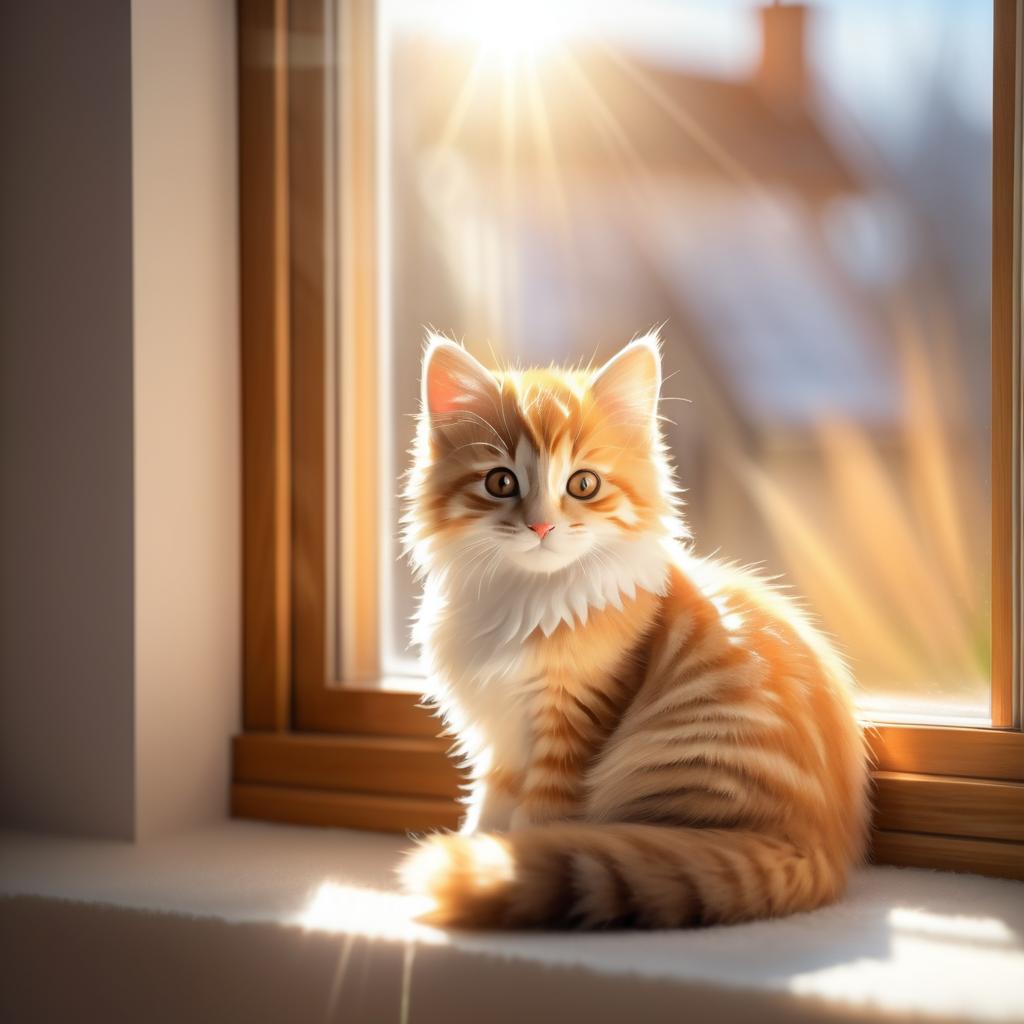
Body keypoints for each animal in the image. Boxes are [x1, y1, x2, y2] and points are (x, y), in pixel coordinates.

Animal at [397, 331, 864, 925]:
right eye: (501, 481)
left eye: (583, 484)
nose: (541, 526)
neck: (526, 597)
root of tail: (819, 846)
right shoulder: (499, 742)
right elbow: (489, 806)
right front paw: (479, 846)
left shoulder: (573, 726)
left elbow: (534, 822)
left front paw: (506, 866)